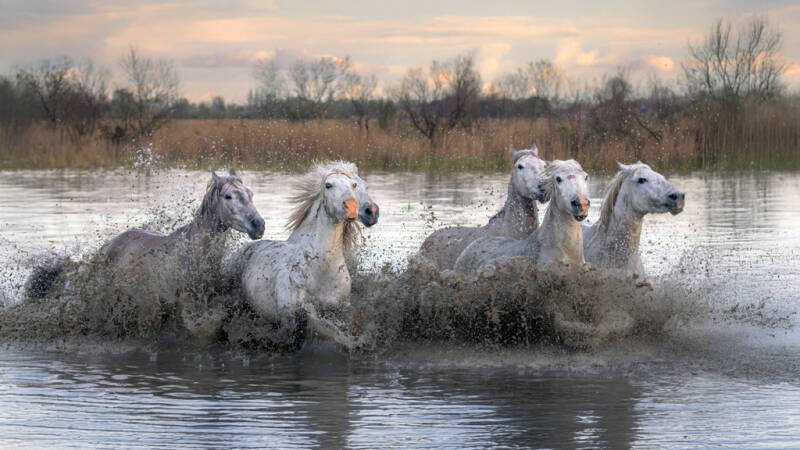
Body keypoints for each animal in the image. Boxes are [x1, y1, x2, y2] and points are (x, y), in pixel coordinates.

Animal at [234, 162, 361, 347]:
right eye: (328, 185)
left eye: (354, 185)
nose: (351, 207)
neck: (321, 270)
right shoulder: (289, 318)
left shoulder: (339, 313)